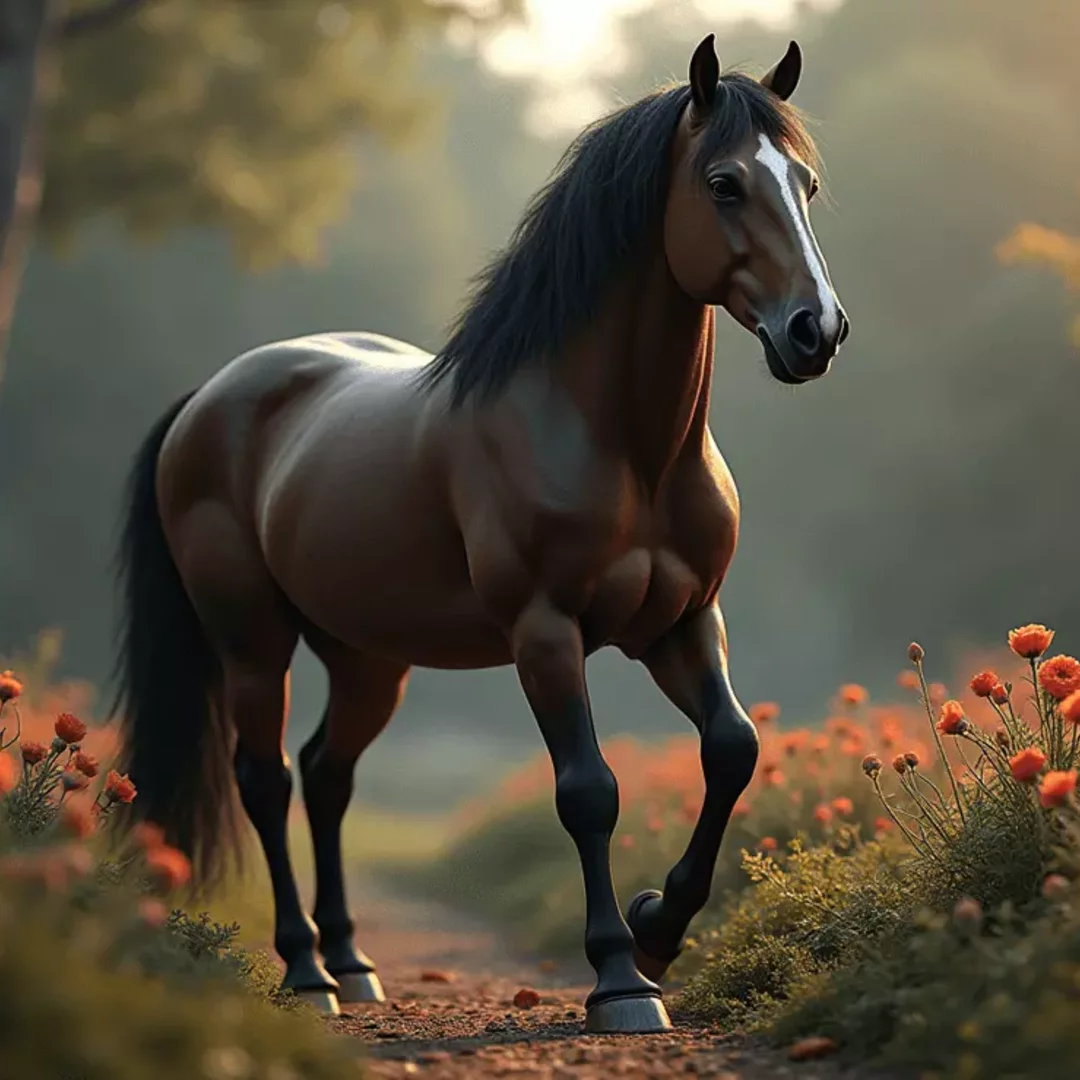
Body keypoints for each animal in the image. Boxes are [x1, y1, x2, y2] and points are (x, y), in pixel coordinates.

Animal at [110, 34, 848, 1034]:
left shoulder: (683, 623)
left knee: (327, 775)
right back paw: (306, 972)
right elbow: (588, 791)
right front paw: (620, 977)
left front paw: (658, 929)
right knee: (266, 781)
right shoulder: (546, 633)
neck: (624, 446)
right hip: (253, 644)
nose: (817, 331)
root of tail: (212, 397)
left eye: (805, 184)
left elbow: (732, 751)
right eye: (725, 183)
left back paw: (354, 964)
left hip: (367, 658)